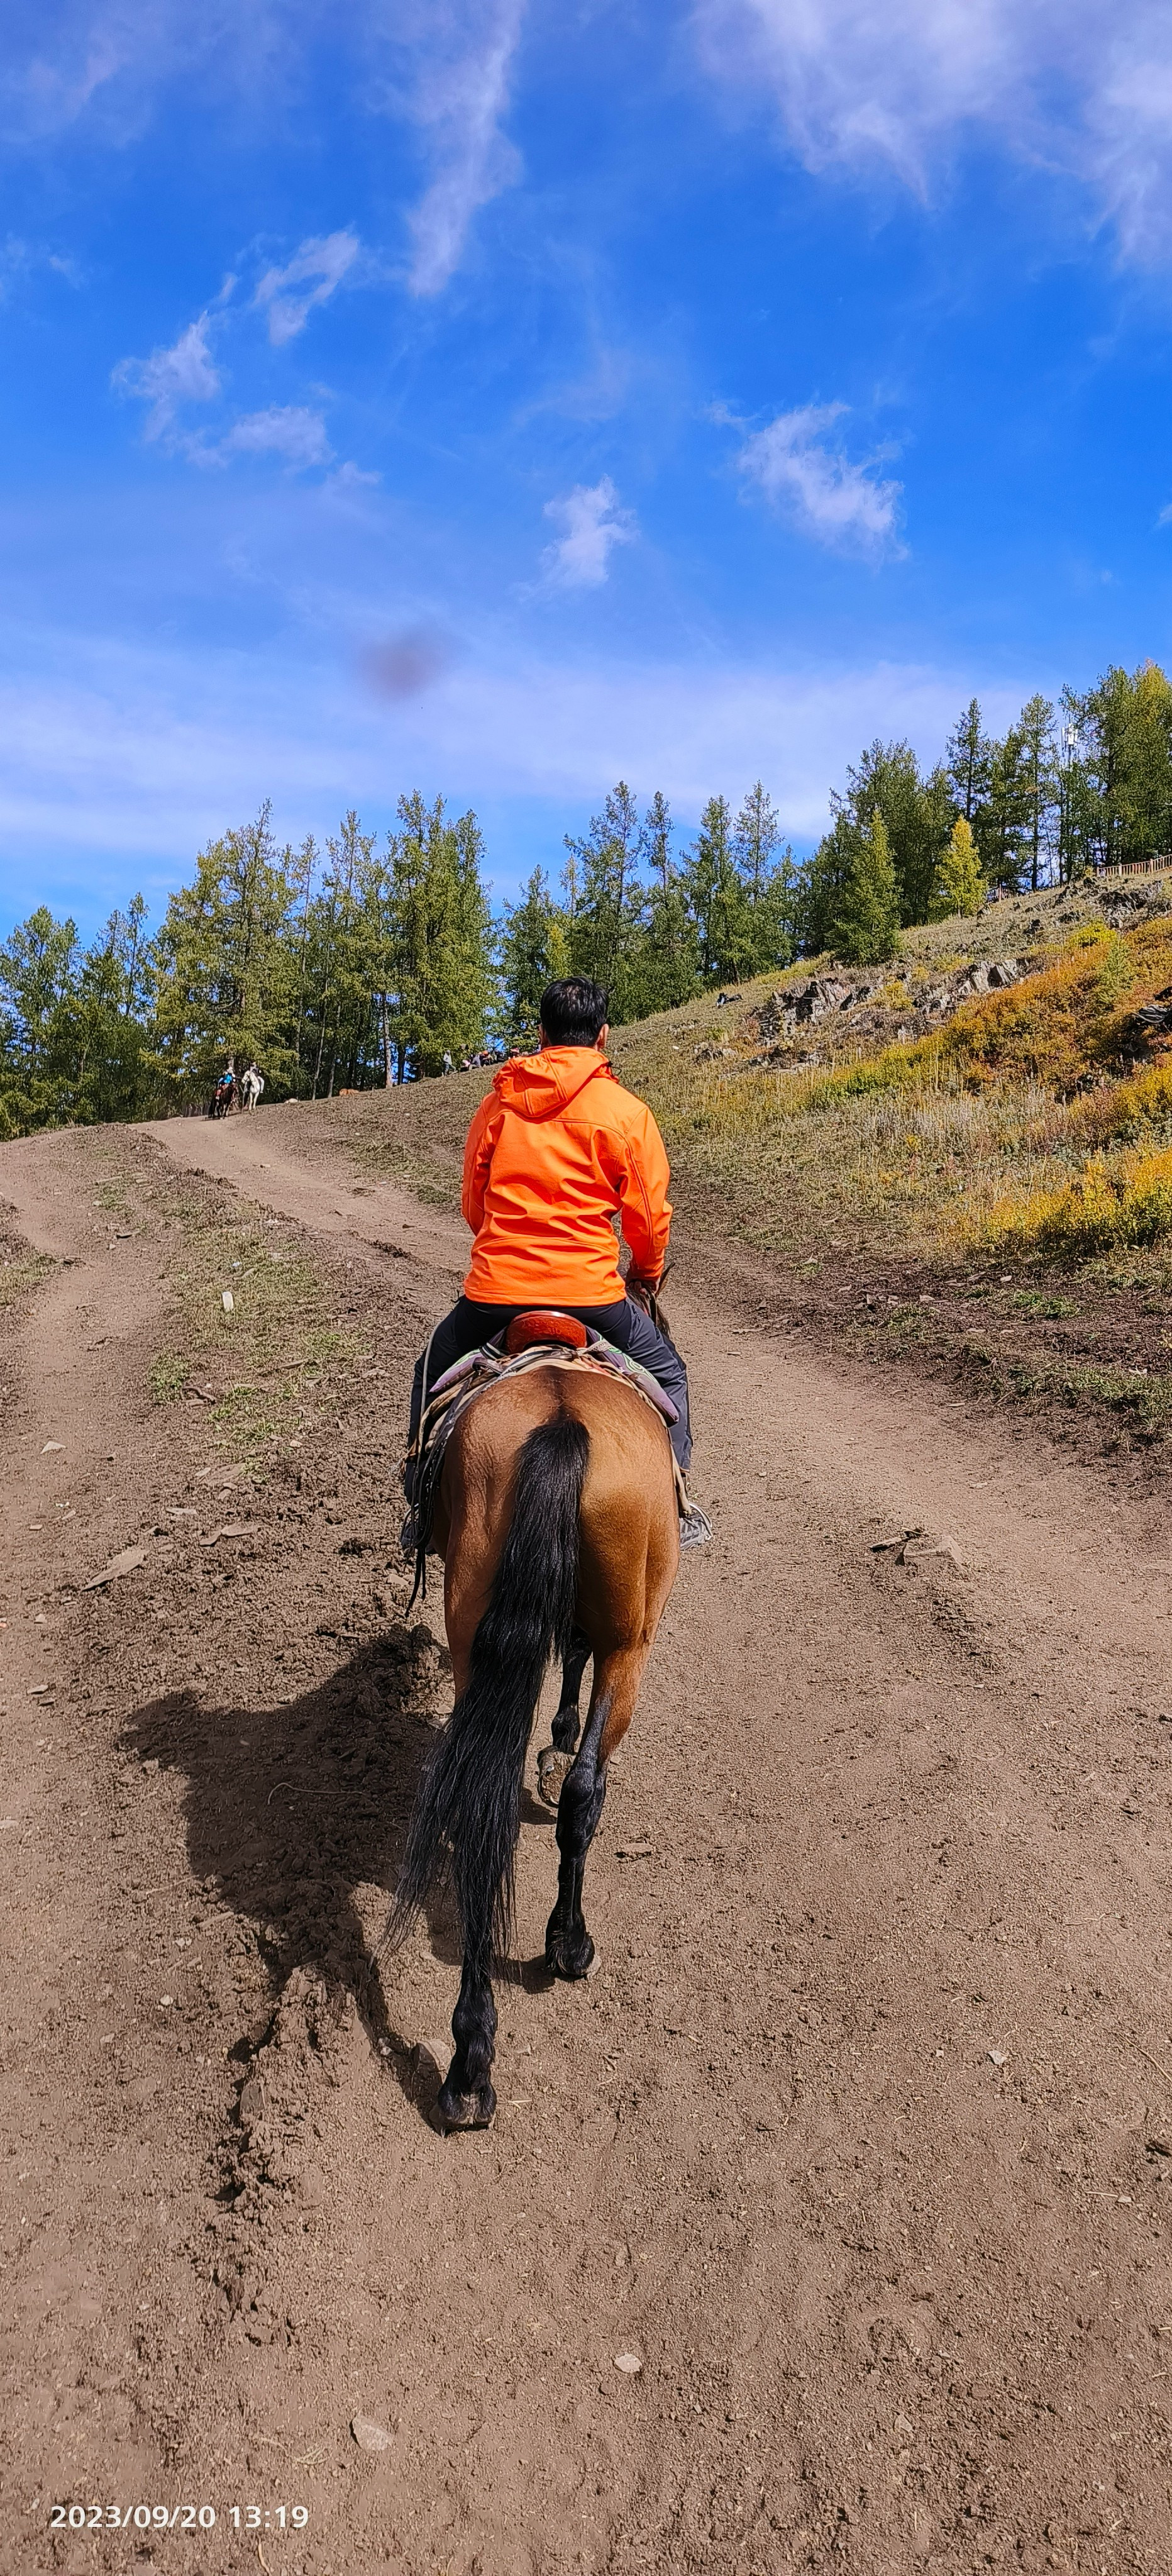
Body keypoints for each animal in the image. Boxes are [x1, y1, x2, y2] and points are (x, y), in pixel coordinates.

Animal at [391, 1360, 680, 2123]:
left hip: (475, 1629)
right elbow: (574, 1663)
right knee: (585, 1793)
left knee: (481, 1811)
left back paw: (470, 2063)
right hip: (631, 1645)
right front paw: (558, 1742)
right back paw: (569, 1946)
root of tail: (562, 1421)